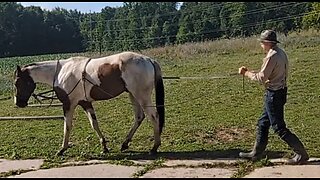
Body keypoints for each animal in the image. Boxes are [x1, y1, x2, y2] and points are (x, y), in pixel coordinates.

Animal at [13, 51, 165, 155]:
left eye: (17, 82)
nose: (18, 103)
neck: (61, 72)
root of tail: (149, 60)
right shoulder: (85, 103)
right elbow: (94, 124)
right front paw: (104, 146)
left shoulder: (68, 104)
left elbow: (67, 126)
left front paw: (62, 149)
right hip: (133, 95)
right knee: (139, 117)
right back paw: (125, 144)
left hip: (141, 96)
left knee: (153, 116)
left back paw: (154, 147)